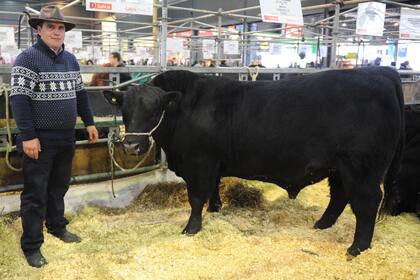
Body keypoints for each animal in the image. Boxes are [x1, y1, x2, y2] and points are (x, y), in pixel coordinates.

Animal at [104, 67, 404, 256]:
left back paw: (357, 248)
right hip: (339, 168)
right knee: (340, 197)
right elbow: (212, 190)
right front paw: (216, 210)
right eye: (125, 110)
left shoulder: (199, 162)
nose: (131, 145)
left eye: (156, 110)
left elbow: (196, 197)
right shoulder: (213, 164)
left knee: (366, 203)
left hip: (361, 168)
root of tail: (379, 72)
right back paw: (322, 225)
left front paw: (191, 228)